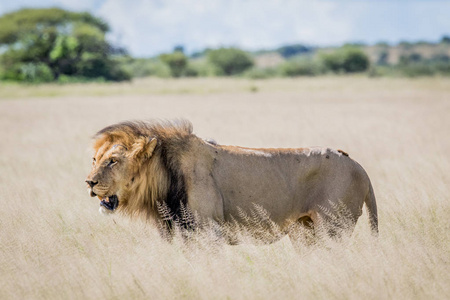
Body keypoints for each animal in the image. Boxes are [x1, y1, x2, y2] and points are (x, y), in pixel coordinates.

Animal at [86, 119, 378, 244]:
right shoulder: (180, 231)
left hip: (333, 228)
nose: (89, 182)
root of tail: (359, 166)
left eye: (113, 161)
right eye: (95, 159)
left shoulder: (208, 231)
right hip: (304, 231)